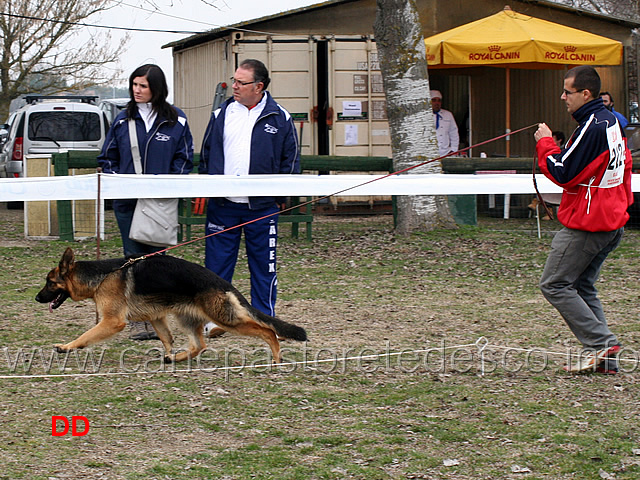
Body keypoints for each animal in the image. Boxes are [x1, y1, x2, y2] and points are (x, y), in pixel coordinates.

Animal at [37, 249, 308, 362]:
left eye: (50, 283)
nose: (37, 298)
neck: (103, 275)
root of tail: (222, 282)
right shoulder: (157, 317)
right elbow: (166, 339)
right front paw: (168, 353)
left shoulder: (112, 321)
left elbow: (85, 336)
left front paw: (66, 347)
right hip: (186, 318)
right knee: (199, 346)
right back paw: (175, 359)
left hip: (226, 319)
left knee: (268, 330)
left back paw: (276, 357)